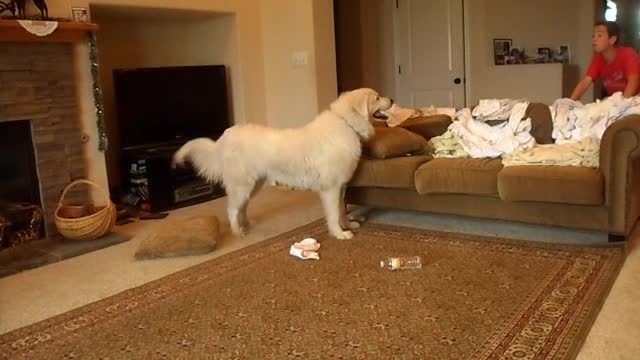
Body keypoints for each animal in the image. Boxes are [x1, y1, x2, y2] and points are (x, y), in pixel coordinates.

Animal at [171, 87, 390, 239]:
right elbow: (334, 214)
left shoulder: (341, 187)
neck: (346, 123)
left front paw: (348, 226)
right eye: (377, 98)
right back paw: (238, 233)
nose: (392, 99)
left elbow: (342, 211)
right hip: (242, 185)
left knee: (241, 208)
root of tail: (225, 136)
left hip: (253, 185)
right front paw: (340, 234)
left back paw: (246, 225)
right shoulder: (331, 188)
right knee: (232, 209)